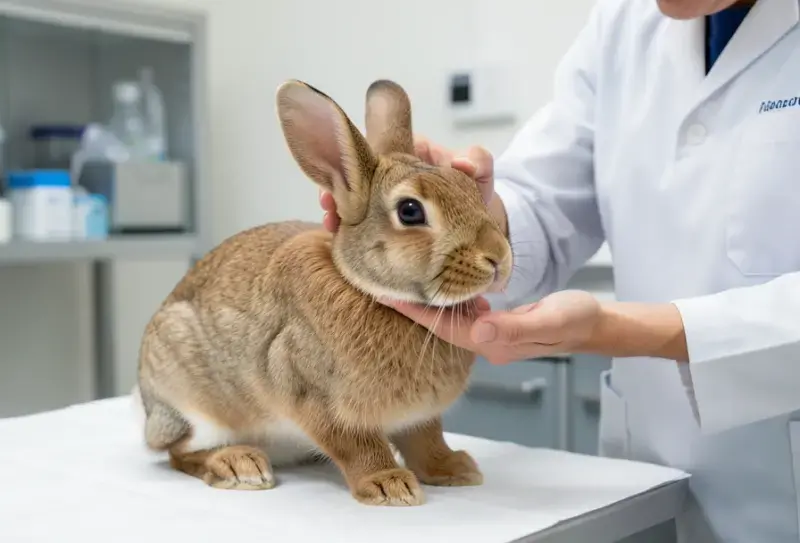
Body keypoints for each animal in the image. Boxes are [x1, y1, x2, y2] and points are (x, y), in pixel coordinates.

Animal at [135, 78, 513, 507]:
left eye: (473, 189)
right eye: (410, 211)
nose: (498, 257)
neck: (365, 288)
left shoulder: (419, 416)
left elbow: (426, 440)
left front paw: (453, 470)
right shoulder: (315, 397)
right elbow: (358, 446)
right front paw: (389, 486)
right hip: (191, 400)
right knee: (179, 451)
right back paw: (239, 465)